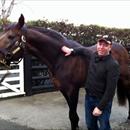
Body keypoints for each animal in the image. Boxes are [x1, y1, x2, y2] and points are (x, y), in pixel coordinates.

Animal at [0, 14, 130, 130]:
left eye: (11, 36)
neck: (60, 58)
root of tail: (122, 47)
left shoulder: (73, 90)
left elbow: (72, 115)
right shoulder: (63, 90)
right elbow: (72, 116)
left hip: (125, 79)